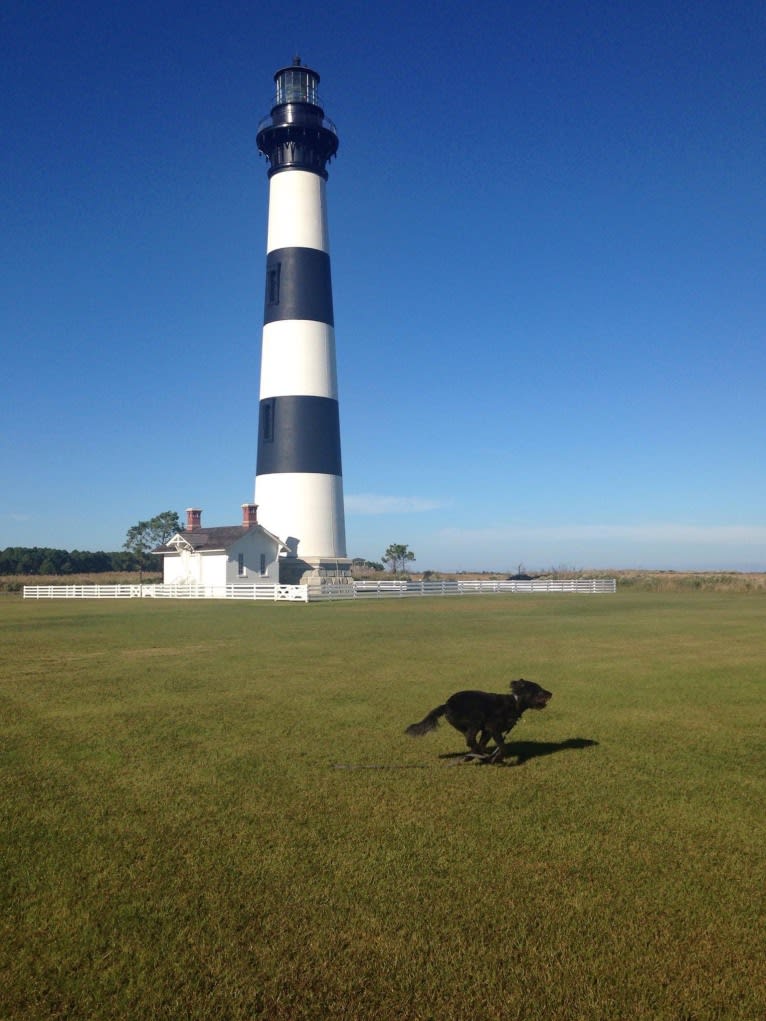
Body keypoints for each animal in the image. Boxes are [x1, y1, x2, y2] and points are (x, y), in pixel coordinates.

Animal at [408, 673, 551, 763]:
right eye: (539, 690)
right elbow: (502, 746)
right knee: (470, 740)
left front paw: (483, 756)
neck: (514, 702)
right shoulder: (493, 727)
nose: (551, 693)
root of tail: (446, 705)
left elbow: (483, 743)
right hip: (475, 720)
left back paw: (474, 756)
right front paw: (496, 758)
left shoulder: (487, 731)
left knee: (471, 742)